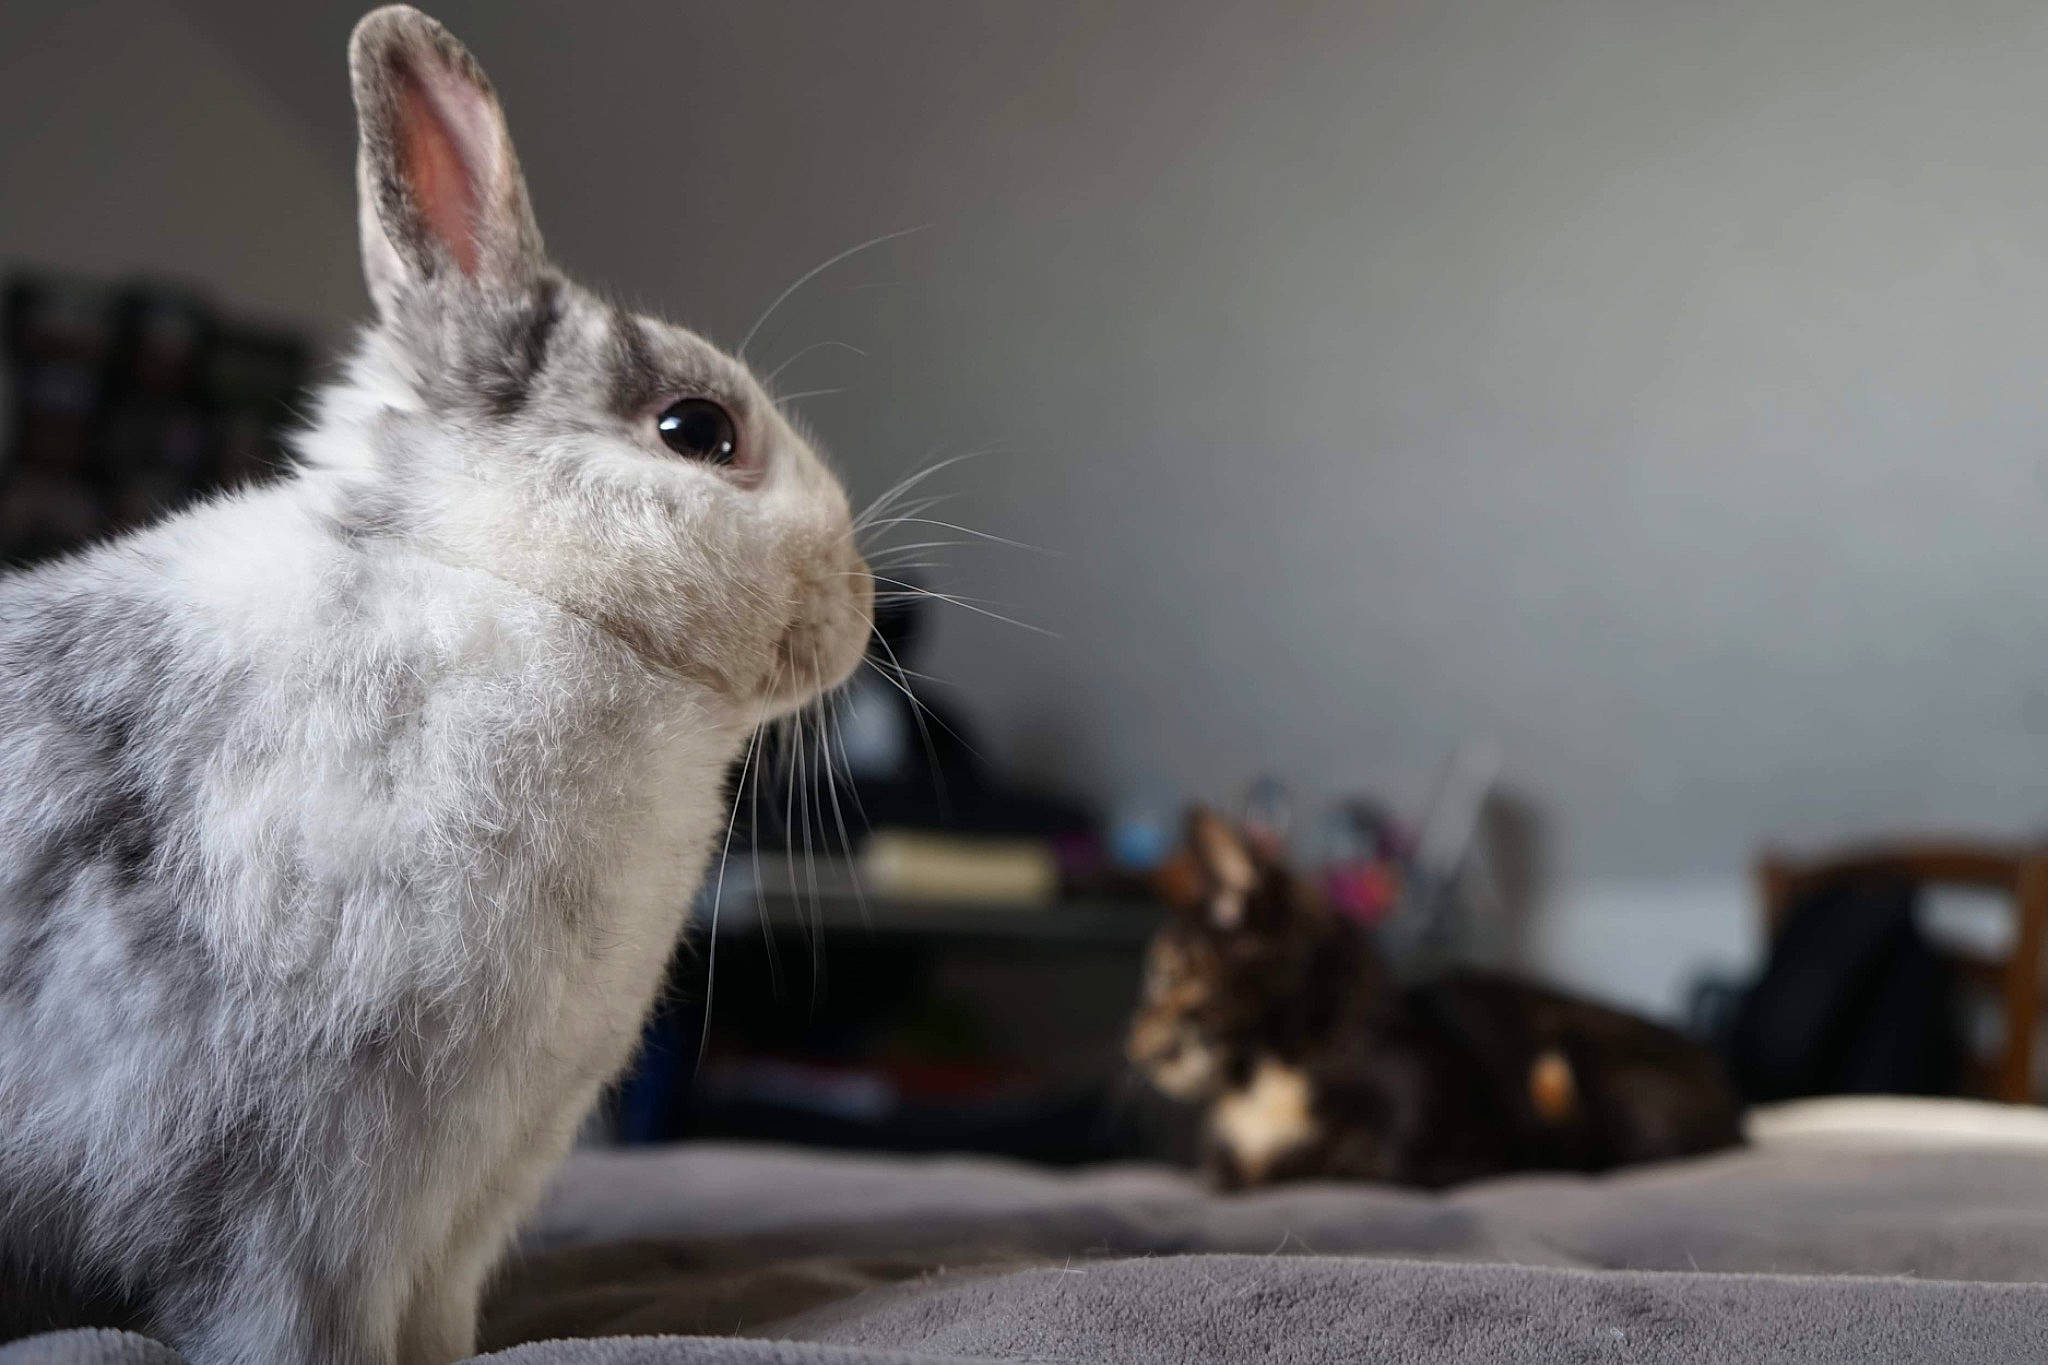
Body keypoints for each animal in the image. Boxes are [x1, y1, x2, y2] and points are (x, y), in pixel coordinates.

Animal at [0, 7, 873, 1363]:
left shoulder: (470, 1201)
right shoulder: (308, 1192)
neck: (513, 583)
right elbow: (301, 1322)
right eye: (696, 431)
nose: (865, 604)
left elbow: (444, 1319)